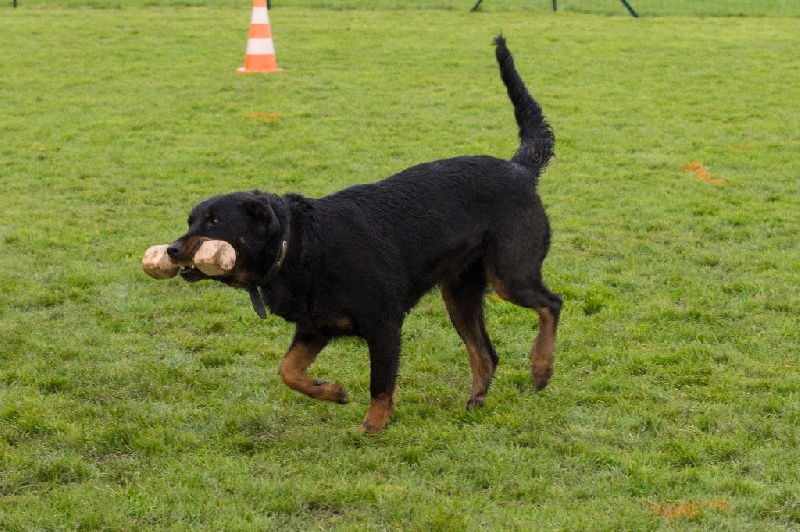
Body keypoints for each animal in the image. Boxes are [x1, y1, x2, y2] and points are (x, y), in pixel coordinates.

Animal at [166, 38, 560, 436]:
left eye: (214, 222)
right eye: (191, 221)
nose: (171, 249)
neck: (299, 247)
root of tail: (520, 169)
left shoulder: (383, 326)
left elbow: (380, 383)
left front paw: (373, 425)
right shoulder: (314, 327)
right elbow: (287, 369)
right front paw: (330, 391)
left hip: (509, 273)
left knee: (551, 304)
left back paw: (541, 368)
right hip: (459, 294)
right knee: (486, 353)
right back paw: (476, 400)